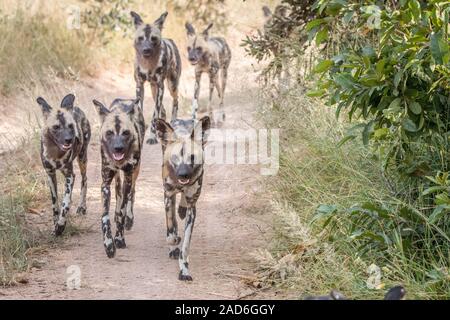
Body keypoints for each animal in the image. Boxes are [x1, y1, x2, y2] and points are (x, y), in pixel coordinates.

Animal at [38, 94, 92, 236]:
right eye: (56, 127)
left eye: (71, 126)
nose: (69, 140)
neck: (55, 153)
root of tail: (76, 108)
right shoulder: (51, 175)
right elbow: (55, 204)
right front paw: (55, 224)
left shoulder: (70, 176)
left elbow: (65, 204)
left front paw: (61, 226)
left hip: (82, 158)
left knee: (84, 179)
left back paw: (82, 206)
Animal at [92, 97, 145, 258]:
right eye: (109, 133)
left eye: (125, 133)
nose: (118, 148)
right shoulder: (105, 184)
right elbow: (105, 216)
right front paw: (108, 244)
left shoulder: (128, 176)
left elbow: (122, 210)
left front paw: (119, 239)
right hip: (116, 177)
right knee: (118, 191)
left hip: (134, 173)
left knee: (131, 193)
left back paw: (129, 219)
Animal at [130, 10, 181, 144]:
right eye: (140, 38)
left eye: (154, 39)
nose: (146, 50)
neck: (148, 64)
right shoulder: (139, 86)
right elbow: (141, 110)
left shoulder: (160, 87)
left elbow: (154, 114)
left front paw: (152, 137)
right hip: (154, 91)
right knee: (163, 111)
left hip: (171, 86)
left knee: (175, 101)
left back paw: (173, 122)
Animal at [155, 115, 211, 280]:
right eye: (175, 157)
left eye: (192, 158)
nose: (183, 175)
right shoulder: (168, 197)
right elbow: (171, 233)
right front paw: (174, 243)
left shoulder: (192, 209)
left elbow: (185, 246)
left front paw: (184, 270)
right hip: (170, 198)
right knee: (173, 220)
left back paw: (181, 208)